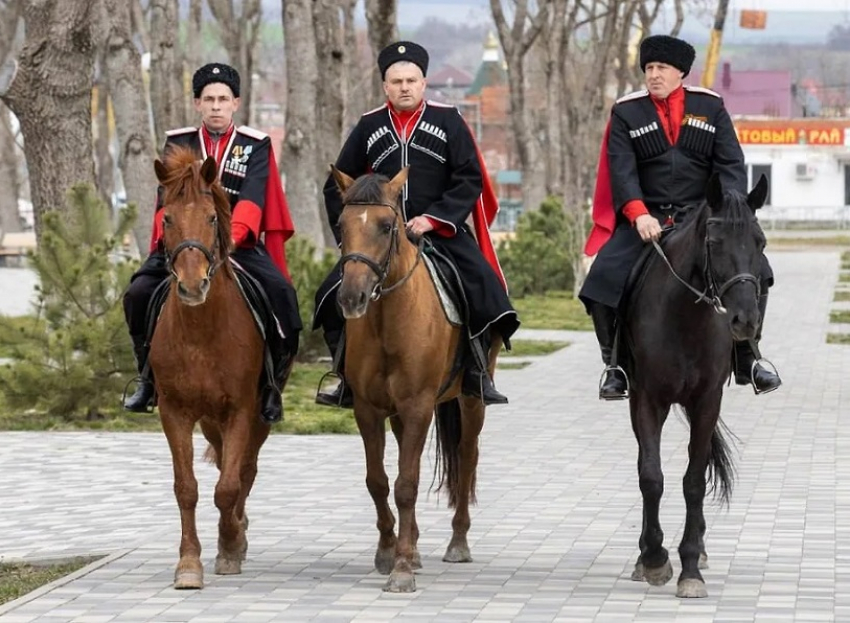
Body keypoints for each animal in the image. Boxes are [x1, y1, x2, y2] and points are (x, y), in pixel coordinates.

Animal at [147, 146, 276, 588]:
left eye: (212, 218)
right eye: (167, 218)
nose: (191, 285)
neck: (201, 332)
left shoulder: (241, 409)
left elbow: (228, 486)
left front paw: (231, 545)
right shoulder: (175, 412)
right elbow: (187, 487)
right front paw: (189, 563)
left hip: (257, 416)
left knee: (245, 470)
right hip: (208, 419)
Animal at [330, 167, 496, 596]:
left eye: (387, 226)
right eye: (341, 224)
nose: (351, 298)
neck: (388, 319)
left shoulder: (419, 404)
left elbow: (407, 484)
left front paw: (401, 569)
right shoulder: (368, 409)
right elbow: (379, 481)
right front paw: (389, 552)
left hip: (471, 401)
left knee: (467, 457)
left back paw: (458, 542)